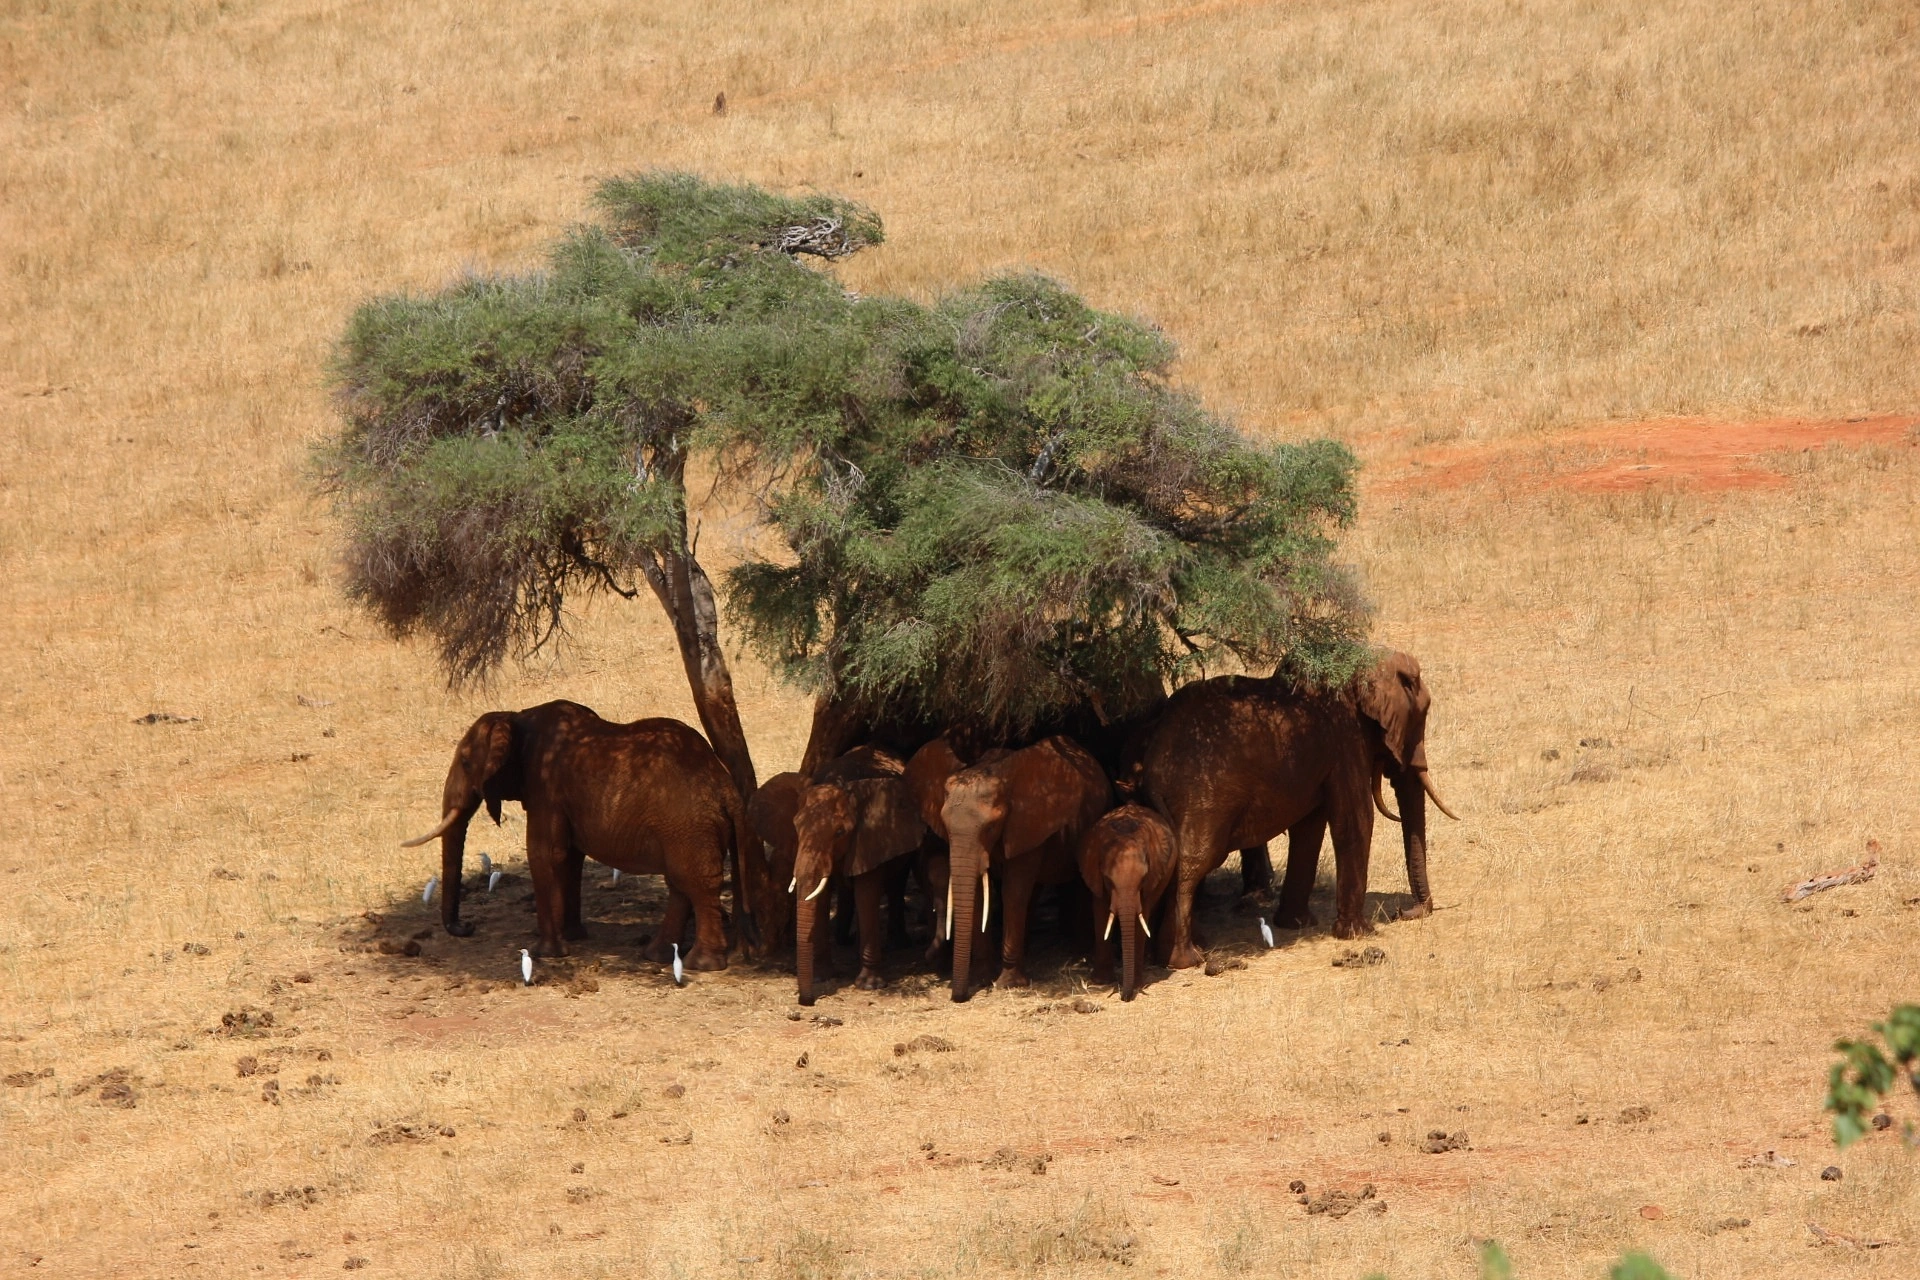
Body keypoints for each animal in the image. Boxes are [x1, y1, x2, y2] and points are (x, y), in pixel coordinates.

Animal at [401, 702, 760, 971]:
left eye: (465, 762)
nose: (467, 927)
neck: (516, 717)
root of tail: (726, 785)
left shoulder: (545, 786)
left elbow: (544, 853)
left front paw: (547, 952)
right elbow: (570, 858)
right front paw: (573, 936)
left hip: (689, 827)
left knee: (695, 884)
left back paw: (702, 965)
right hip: (689, 830)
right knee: (681, 884)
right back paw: (656, 956)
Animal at [787, 744, 921, 1005]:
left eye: (840, 832)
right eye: (796, 827)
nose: (807, 1001)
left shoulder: (870, 839)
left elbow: (866, 893)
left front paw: (869, 986)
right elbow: (820, 895)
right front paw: (822, 977)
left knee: (896, 884)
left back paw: (898, 943)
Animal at [940, 740, 1113, 997]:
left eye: (990, 827)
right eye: (945, 827)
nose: (959, 998)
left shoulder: (1028, 827)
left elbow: (1013, 892)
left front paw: (1007, 983)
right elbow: (981, 894)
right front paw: (982, 978)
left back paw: (1080, 952)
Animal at [1075, 805, 1175, 1005]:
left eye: (1143, 879)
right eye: (1107, 879)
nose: (1124, 997)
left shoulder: (1151, 879)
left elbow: (1141, 918)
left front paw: (1136, 985)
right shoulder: (1095, 876)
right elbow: (1100, 912)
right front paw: (1101, 982)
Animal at [1136, 656, 1451, 967]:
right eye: (1420, 717)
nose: (1401, 912)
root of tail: (1153, 763)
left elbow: (1309, 829)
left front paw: (1296, 924)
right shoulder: (1346, 738)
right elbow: (1354, 820)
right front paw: (1359, 933)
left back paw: (1182, 950)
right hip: (1203, 795)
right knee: (1194, 861)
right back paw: (1185, 960)